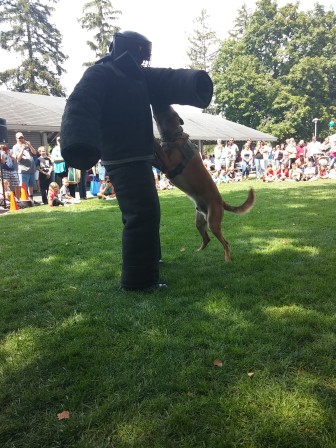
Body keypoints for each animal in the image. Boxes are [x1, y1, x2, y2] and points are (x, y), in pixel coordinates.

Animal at [152, 103, 255, 260]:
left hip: (213, 223)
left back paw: (227, 259)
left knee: (225, 242)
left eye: (169, 109)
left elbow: (156, 146)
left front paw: (152, 138)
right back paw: (198, 251)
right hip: (199, 222)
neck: (173, 137)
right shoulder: (161, 163)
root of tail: (221, 201)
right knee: (207, 239)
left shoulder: (167, 163)